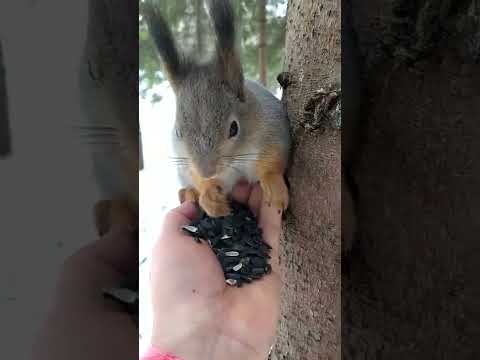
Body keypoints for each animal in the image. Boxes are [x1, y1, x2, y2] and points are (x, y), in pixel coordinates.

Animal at [143, 0, 292, 217]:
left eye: (234, 128)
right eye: (178, 132)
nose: (207, 171)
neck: (238, 158)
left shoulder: (274, 125)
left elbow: (274, 157)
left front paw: (273, 184)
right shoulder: (187, 161)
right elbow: (197, 176)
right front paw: (209, 195)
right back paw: (188, 193)